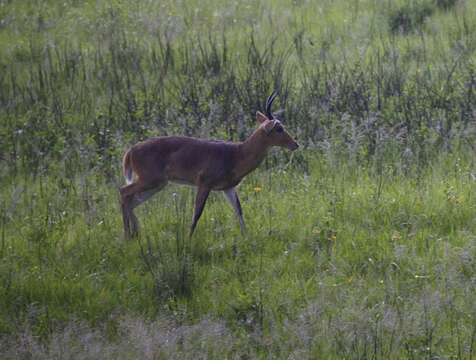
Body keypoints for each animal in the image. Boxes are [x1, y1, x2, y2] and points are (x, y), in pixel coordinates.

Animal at [119, 92, 298, 239]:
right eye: (279, 128)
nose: (295, 144)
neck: (236, 154)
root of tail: (131, 150)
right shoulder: (204, 183)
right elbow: (197, 213)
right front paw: (188, 239)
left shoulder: (228, 188)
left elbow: (239, 210)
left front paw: (246, 237)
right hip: (149, 180)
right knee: (124, 192)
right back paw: (128, 236)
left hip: (157, 184)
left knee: (131, 200)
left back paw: (135, 234)